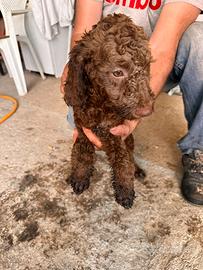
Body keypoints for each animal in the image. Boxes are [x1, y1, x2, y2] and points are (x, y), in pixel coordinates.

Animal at [64, 13, 155, 209]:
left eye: (146, 67)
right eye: (117, 73)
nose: (146, 110)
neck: (101, 103)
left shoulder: (116, 133)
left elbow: (123, 160)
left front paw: (125, 189)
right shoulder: (82, 129)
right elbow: (82, 154)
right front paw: (79, 175)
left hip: (129, 138)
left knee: (130, 154)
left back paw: (136, 169)